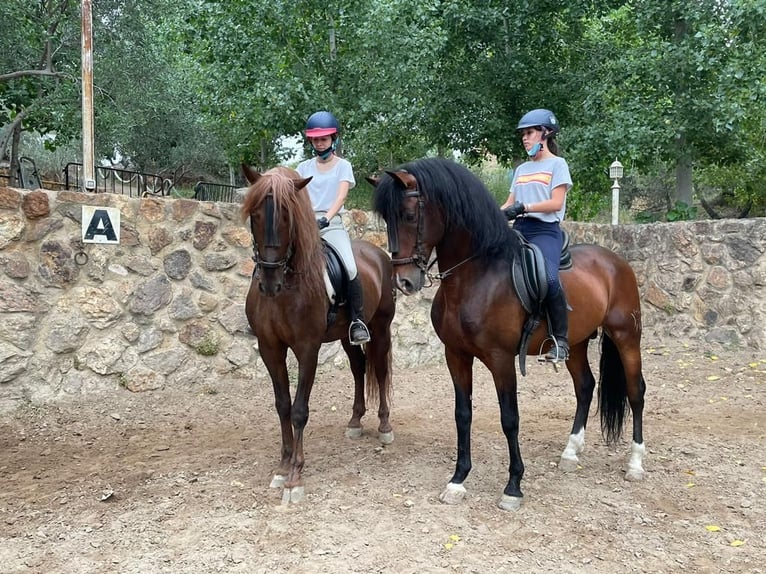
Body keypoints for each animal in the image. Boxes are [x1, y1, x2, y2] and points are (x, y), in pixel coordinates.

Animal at [240, 165, 396, 504]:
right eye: (254, 214)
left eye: (287, 216)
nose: (269, 282)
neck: (287, 288)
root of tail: (378, 253)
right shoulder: (270, 348)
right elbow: (283, 405)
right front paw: (283, 466)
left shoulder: (307, 348)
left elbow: (299, 410)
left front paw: (295, 477)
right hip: (346, 336)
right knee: (358, 368)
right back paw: (355, 420)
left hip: (380, 329)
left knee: (378, 370)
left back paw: (384, 425)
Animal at [372, 159, 648, 512]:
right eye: (387, 220)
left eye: (408, 215)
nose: (404, 282)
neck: (476, 277)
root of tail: (615, 261)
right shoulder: (456, 356)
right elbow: (463, 414)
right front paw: (458, 480)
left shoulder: (501, 359)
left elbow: (510, 418)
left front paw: (513, 486)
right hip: (575, 343)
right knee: (585, 387)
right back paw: (571, 452)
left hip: (626, 337)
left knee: (635, 392)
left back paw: (635, 463)